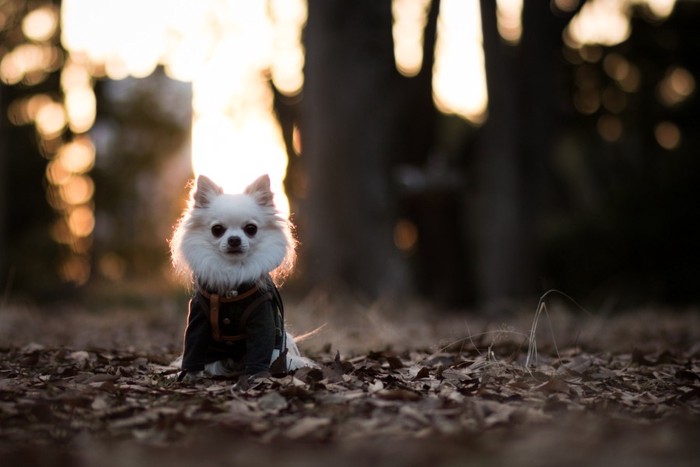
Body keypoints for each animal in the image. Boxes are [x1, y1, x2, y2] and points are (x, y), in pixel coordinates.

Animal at [170, 174, 314, 382]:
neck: (233, 270)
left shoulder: (262, 321)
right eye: (217, 229)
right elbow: (193, 346)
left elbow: (259, 350)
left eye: (251, 229)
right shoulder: (198, 318)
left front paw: (257, 376)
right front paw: (189, 375)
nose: (234, 240)